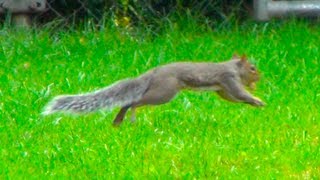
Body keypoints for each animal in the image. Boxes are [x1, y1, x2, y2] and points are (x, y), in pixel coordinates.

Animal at [42, 54, 264, 125]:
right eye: (252, 68)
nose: (260, 77)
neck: (233, 67)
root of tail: (153, 73)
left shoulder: (223, 88)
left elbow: (232, 98)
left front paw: (254, 103)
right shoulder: (229, 79)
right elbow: (240, 94)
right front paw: (258, 101)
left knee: (128, 103)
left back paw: (118, 121)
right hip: (164, 92)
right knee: (134, 102)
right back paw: (129, 118)